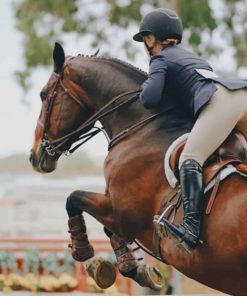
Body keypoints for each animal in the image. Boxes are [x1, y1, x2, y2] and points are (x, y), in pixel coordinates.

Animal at [29, 42, 247, 296]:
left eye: (43, 94)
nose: (34, 156)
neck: (143, 127)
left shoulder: (123, 213)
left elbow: (73, 199)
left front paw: (87, 257)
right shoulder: (119, 212)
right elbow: (105, 227)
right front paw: (133, 269)